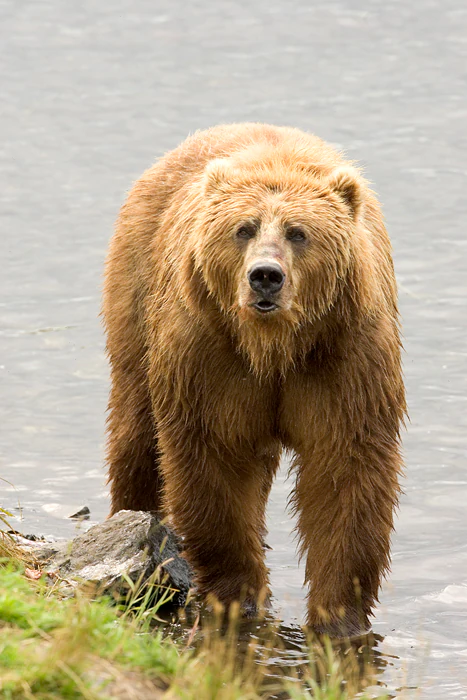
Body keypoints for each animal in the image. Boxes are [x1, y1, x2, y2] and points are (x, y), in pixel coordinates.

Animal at [103, 123, 406, 637]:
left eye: (298, 233)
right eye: (243, 228)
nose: (266, 276)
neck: (274, 346)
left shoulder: (345, 357)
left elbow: (347, 470)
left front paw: (338, 616)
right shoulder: (209, 355)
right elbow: (213, 461)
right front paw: (239, 593)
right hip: (138, 291)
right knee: (137, 429)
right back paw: (130, 517)